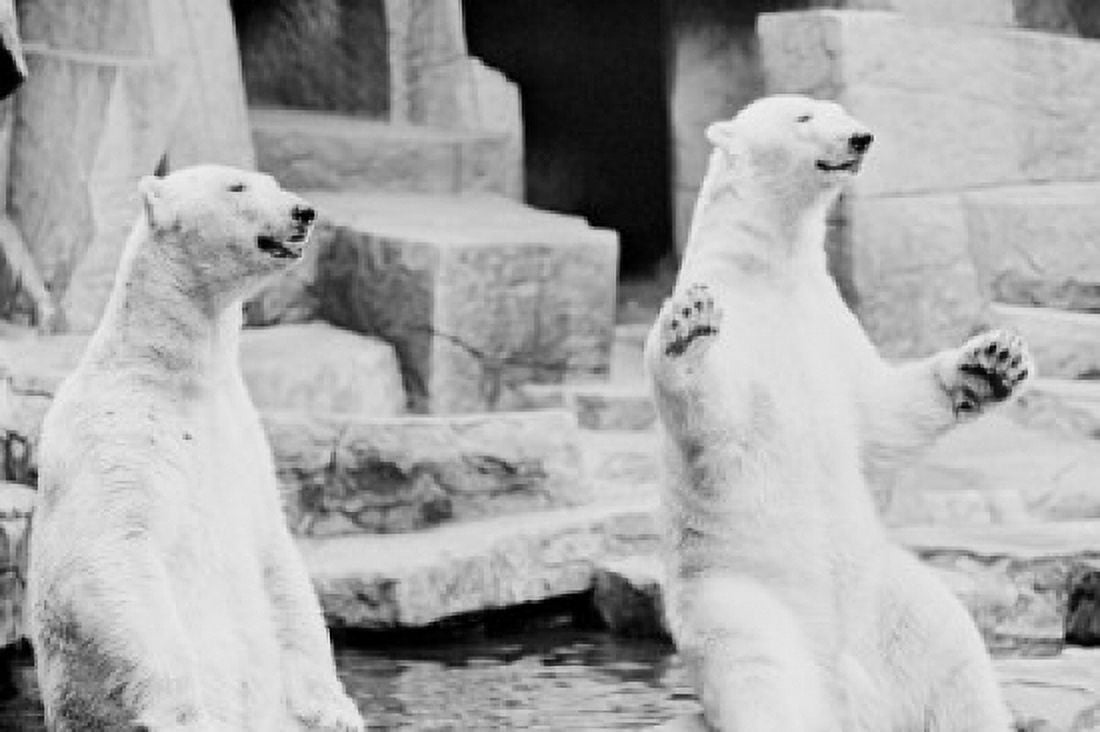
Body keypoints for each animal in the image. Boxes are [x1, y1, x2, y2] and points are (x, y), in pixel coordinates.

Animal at [27, 165, 364, 731]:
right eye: (237, 187)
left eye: (272, 182)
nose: (303, 211)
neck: (175, 375)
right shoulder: (115, 433)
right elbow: (110, 551)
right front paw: (185, 713)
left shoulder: (244, 443)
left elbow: (279, 561)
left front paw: (335, 710)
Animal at [645, 95, 1031, 731]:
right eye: (803, 117)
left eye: (842, 110)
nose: (860, 138)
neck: (770, 269)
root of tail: (849, 702)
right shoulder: (747, 330)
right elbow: (716, 419)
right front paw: (689, 328)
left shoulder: (828, 320)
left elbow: (877, 412)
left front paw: (991, 362)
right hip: (739, 602)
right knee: (765, 684)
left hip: (890, 603)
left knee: (956, 665)